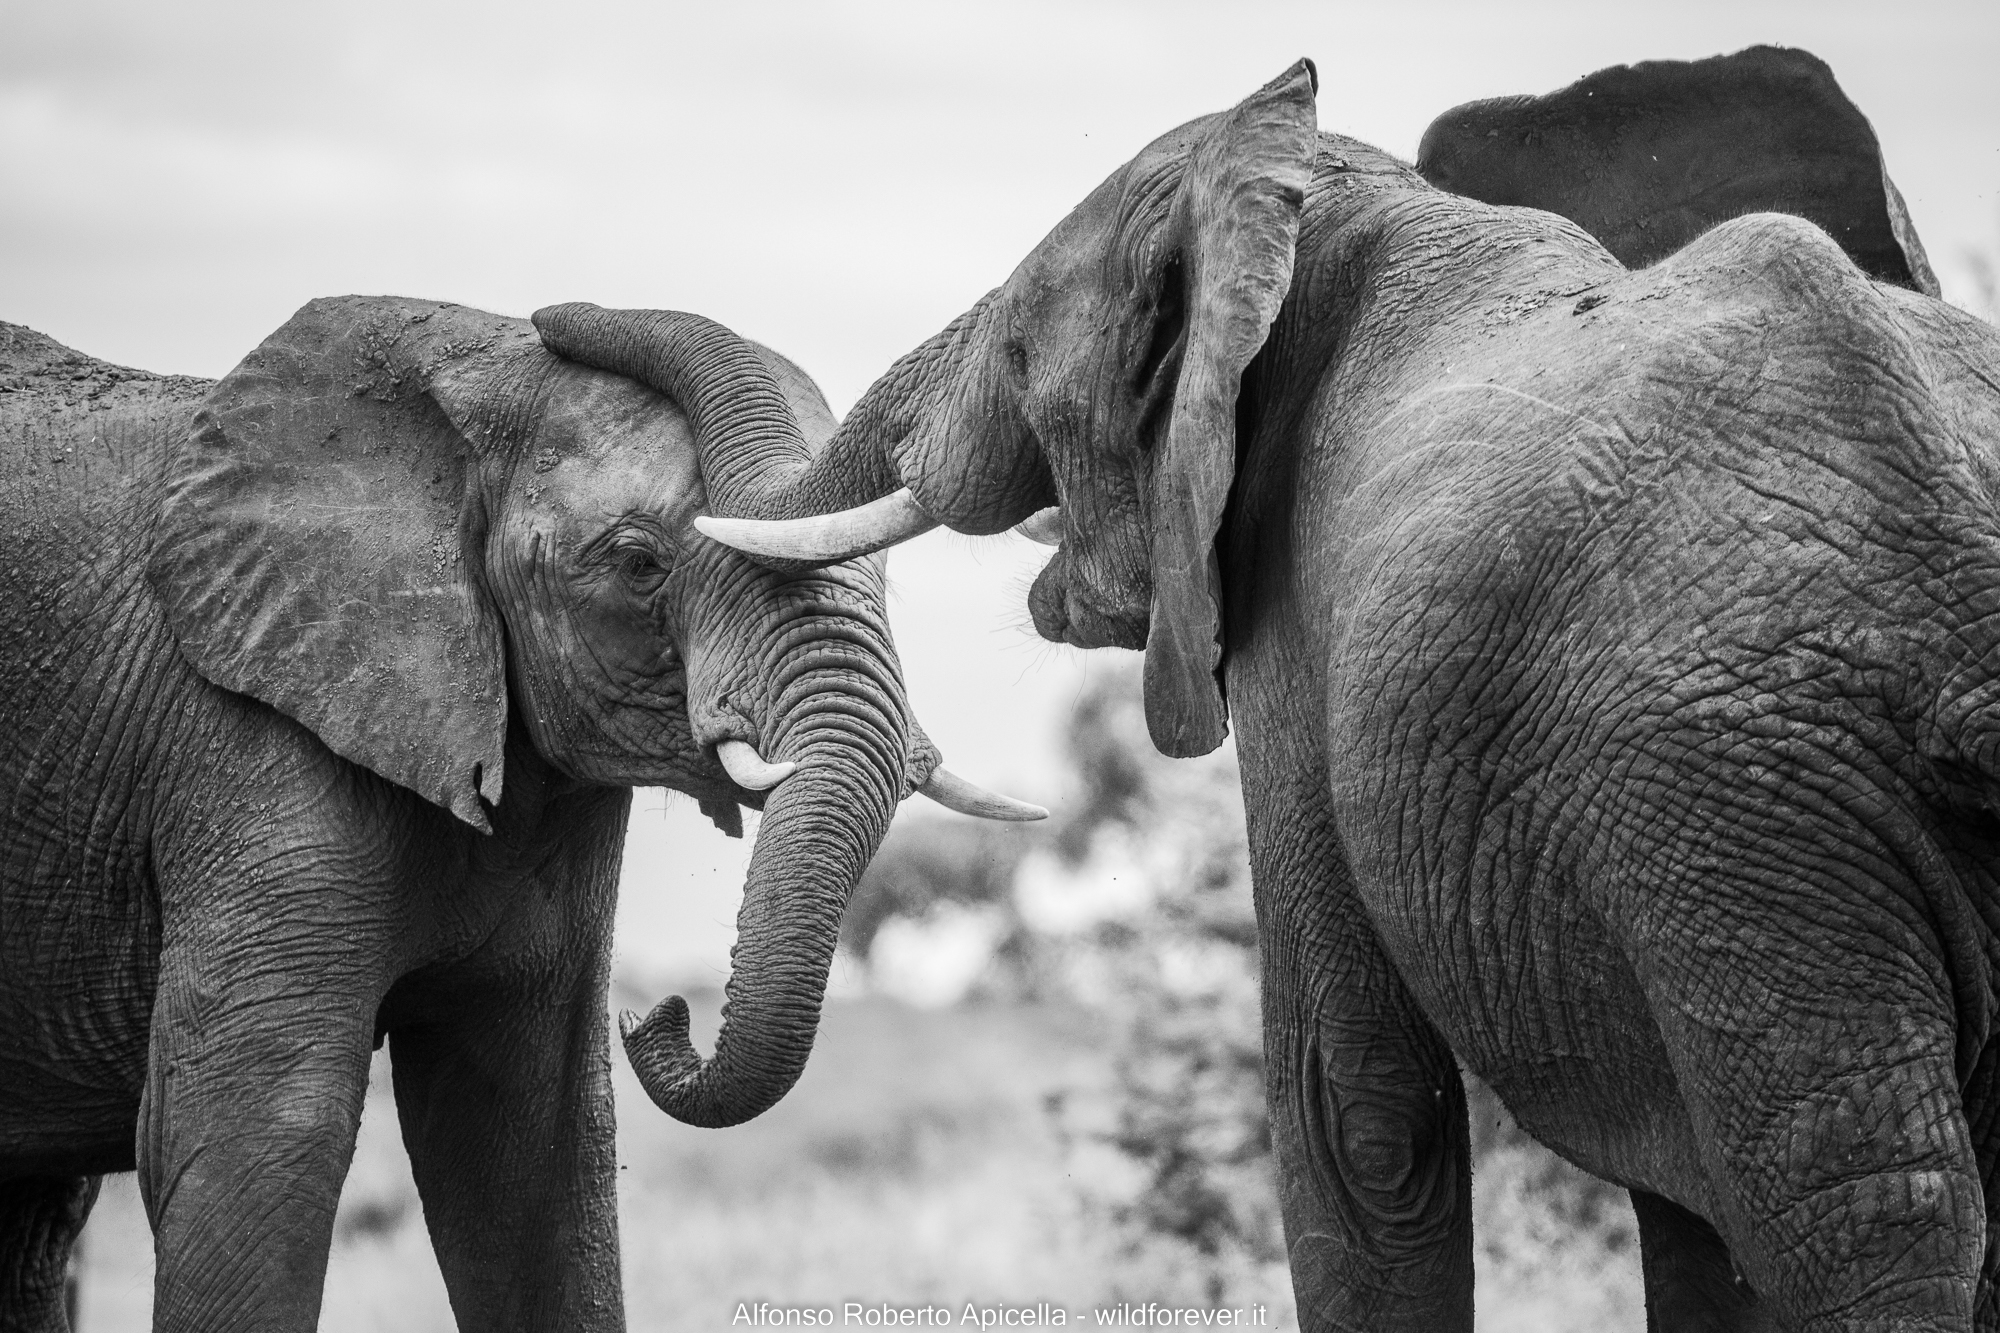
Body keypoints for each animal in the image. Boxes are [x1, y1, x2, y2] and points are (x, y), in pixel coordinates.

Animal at [0, 297, 1037, 1332]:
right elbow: (260, 1131)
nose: (656, 1014)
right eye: (639, 564)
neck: (473, 376)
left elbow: (529, 1142)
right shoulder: (247, 742)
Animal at [587, 49, 2000, 1333]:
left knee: (1853, 1194)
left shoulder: (1295, 608)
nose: (649, 1013)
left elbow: (1356, 1101)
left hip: (1731, 812)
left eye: (1020, 349)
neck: (1311, 201)